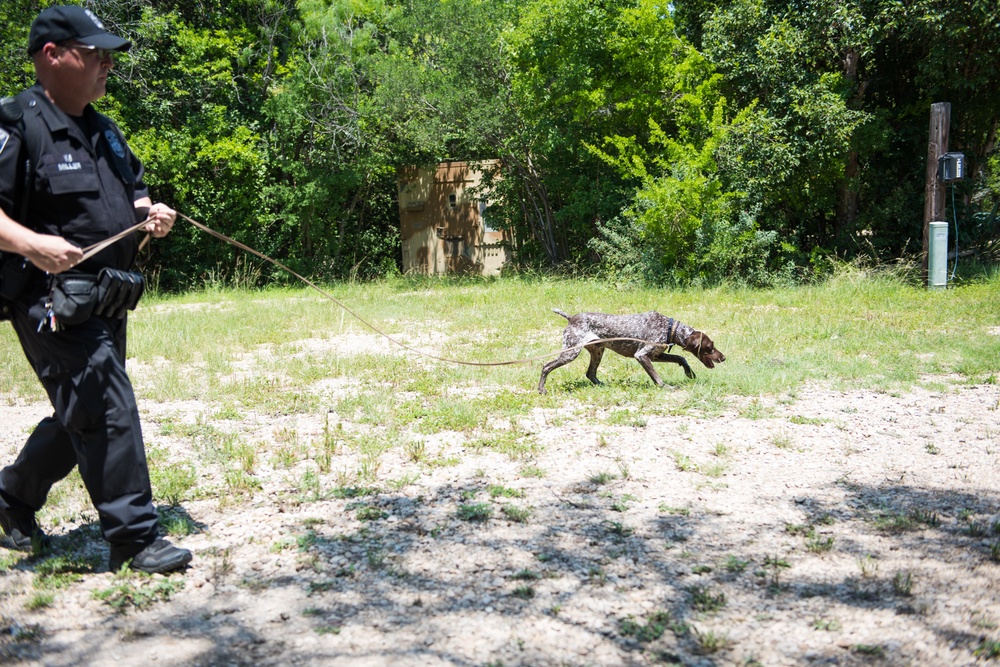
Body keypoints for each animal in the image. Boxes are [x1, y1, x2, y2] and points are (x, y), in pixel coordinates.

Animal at [540, 310, 728, 394]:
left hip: (598, 351)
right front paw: (666, 387)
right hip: (570, 353)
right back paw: (541, 389)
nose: (724, 357)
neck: (670, 329)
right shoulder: (642, 356)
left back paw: (604, 386)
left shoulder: (656, 355)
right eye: (710, 347)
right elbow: (657, 377)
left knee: (590, 373)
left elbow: (681, 358)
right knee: (546, 366)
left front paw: (689, 373)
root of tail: (572, 318)